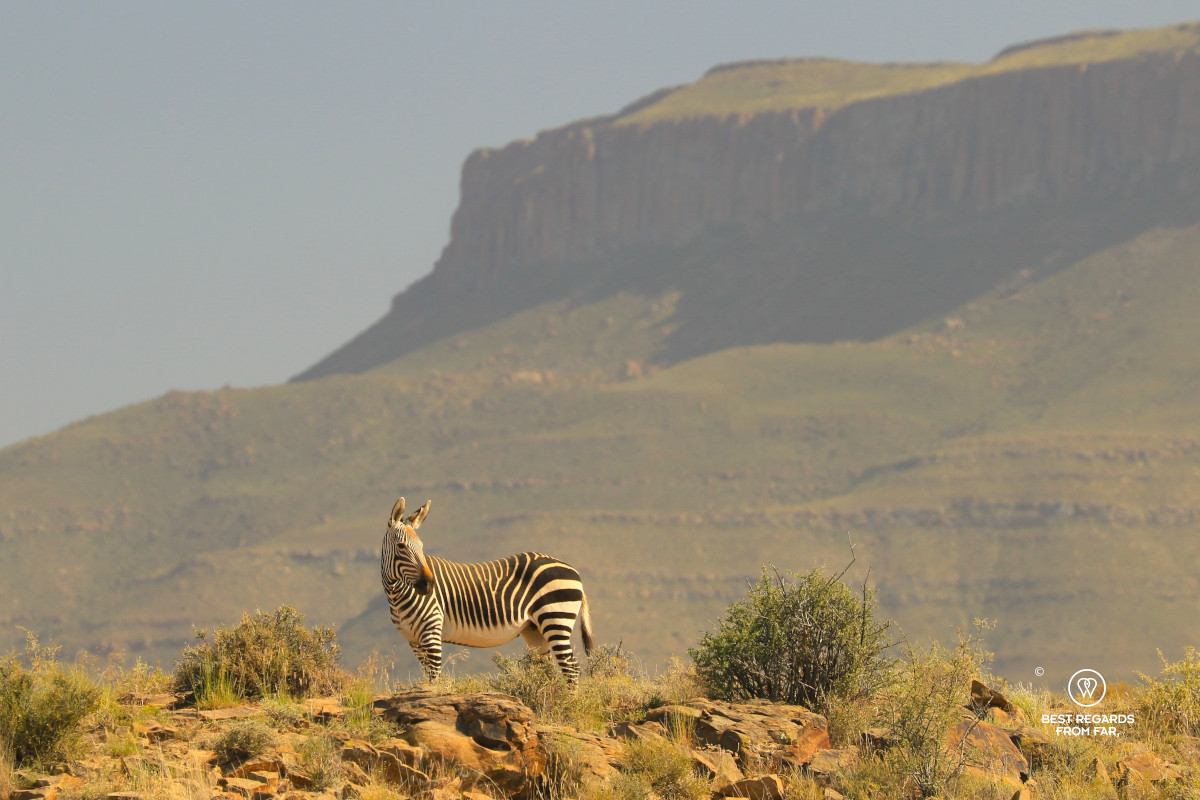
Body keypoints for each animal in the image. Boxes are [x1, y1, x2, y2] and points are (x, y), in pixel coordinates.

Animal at [381, 496, 594, 684]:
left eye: (421, 546)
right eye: (401, 546)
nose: (428, 584)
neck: (396, 594)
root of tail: (573, 571)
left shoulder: (431, 631)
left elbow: (434, 679)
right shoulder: (414, 640)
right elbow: (428, 679)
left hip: (556, 619)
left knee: (571, 668)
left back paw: (569, 702)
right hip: (535, 630)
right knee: (548, 670)